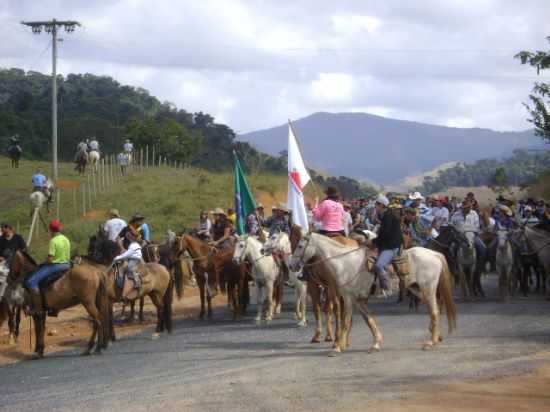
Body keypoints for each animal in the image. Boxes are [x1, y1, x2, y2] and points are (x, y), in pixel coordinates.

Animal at [292, 232, 460, 354]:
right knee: (435, 310)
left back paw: (430, 342)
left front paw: (337, 347)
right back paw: (436, 337)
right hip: (418, 290)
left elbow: (345, 321)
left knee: (435, 312)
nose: (293, 265)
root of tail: (435, 254)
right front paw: (376, 344)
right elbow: (369, 320)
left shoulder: (348, 298)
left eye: (300, 246)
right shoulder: (358, 300)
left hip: (428, 290)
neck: (345, 264)